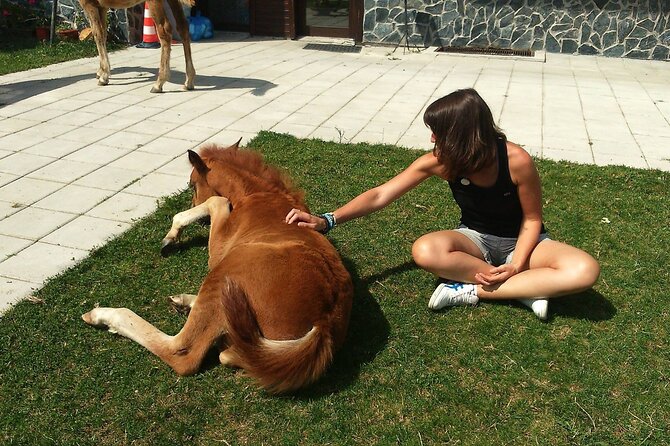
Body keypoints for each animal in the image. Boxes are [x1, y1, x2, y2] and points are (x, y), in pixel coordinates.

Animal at [82, 140, 354, 393]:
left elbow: (216, 200)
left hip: (222, 276)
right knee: (227, 351)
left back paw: (102, 315)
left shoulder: (219, 245)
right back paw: (184, 302)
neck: (255, 195)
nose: (197, 212)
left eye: (191, 184)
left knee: (182, 352)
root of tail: (324, 322)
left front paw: (170, 238)